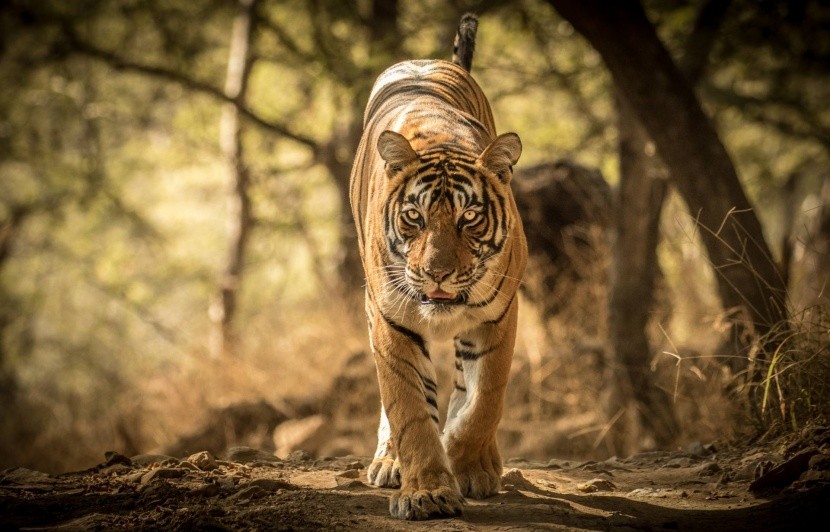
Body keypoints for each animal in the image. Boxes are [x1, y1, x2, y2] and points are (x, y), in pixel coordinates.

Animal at [350, 13, 528, 520]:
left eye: (469, 218)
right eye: (415, 217)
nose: (438, 273)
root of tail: (427, 60)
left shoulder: (500, 315)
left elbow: (484, 399)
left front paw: (469, 466)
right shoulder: (391, 320)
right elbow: (409, 409)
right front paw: (427, 490)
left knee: (467, 390)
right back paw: (390, 462)